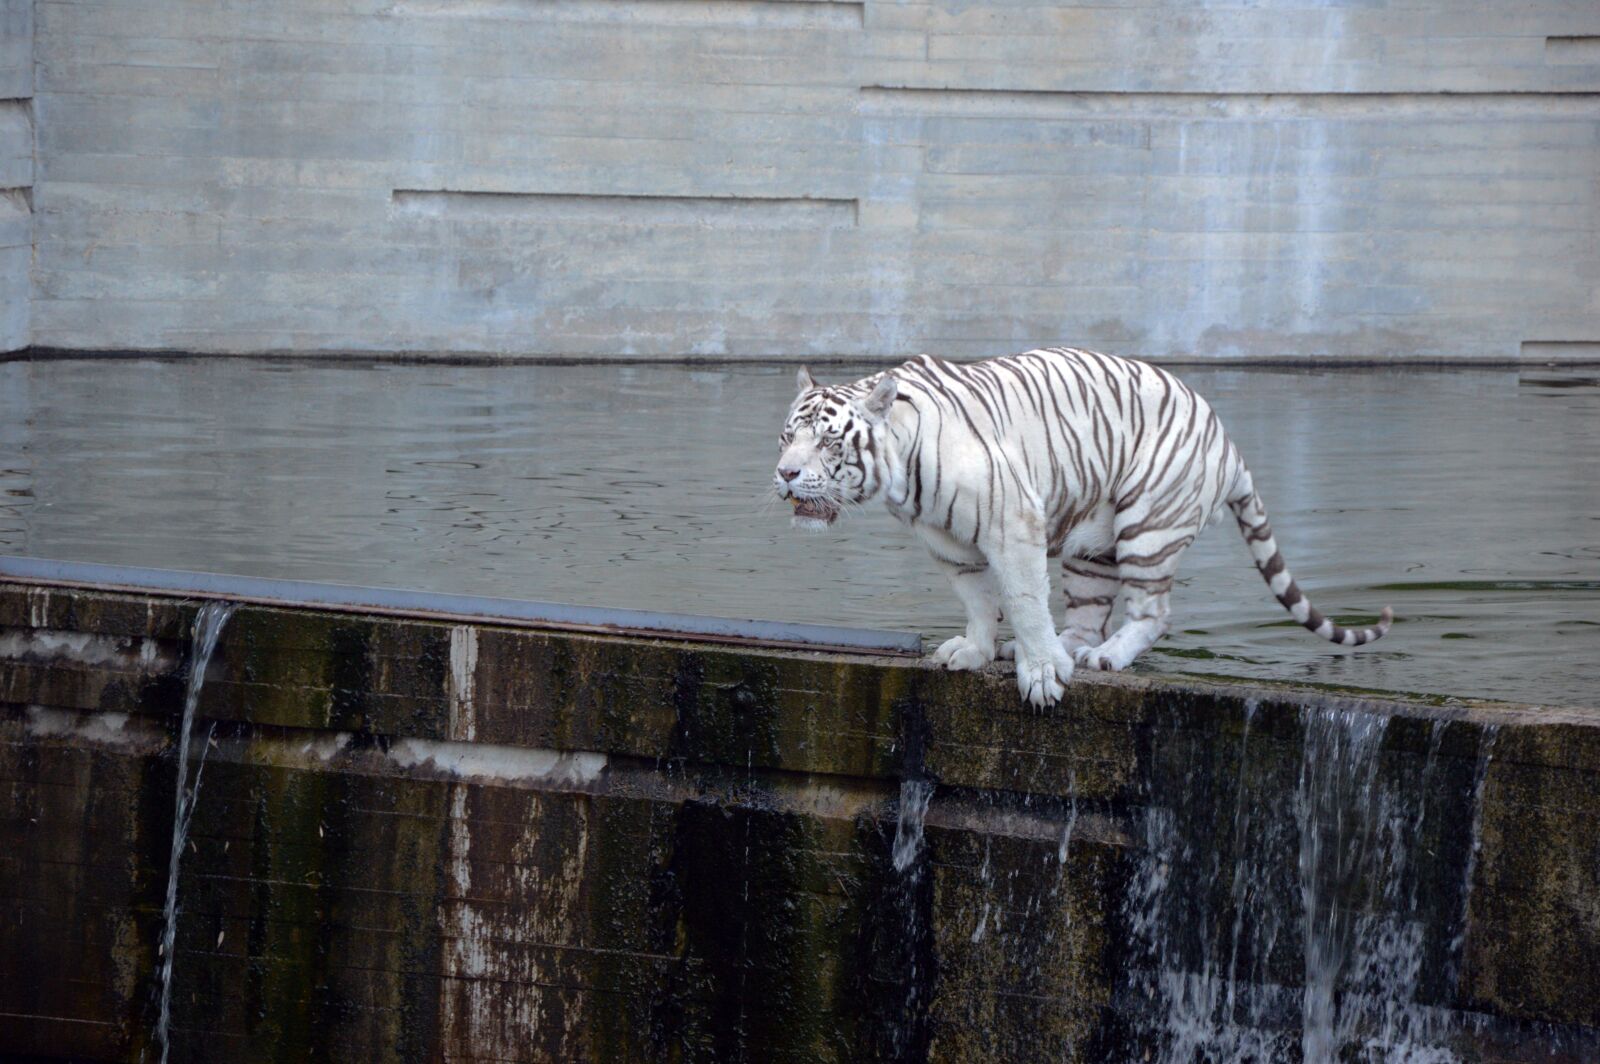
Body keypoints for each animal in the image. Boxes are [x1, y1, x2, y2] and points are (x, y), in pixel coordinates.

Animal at [772, 348, 1392, 707]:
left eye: (828, 442)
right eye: (787, 437)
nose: (785, 473)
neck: (903, 476)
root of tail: (1229, 445)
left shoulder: (1011, 523)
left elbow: (1022, 599)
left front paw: (1043, 677)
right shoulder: (949, 546)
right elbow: (979, 601)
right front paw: (976, 650)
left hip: (1148, 524)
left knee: (1152, 612)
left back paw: (1100, 658)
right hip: (1092, 544)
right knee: (1088, 612)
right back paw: (1057, 648)